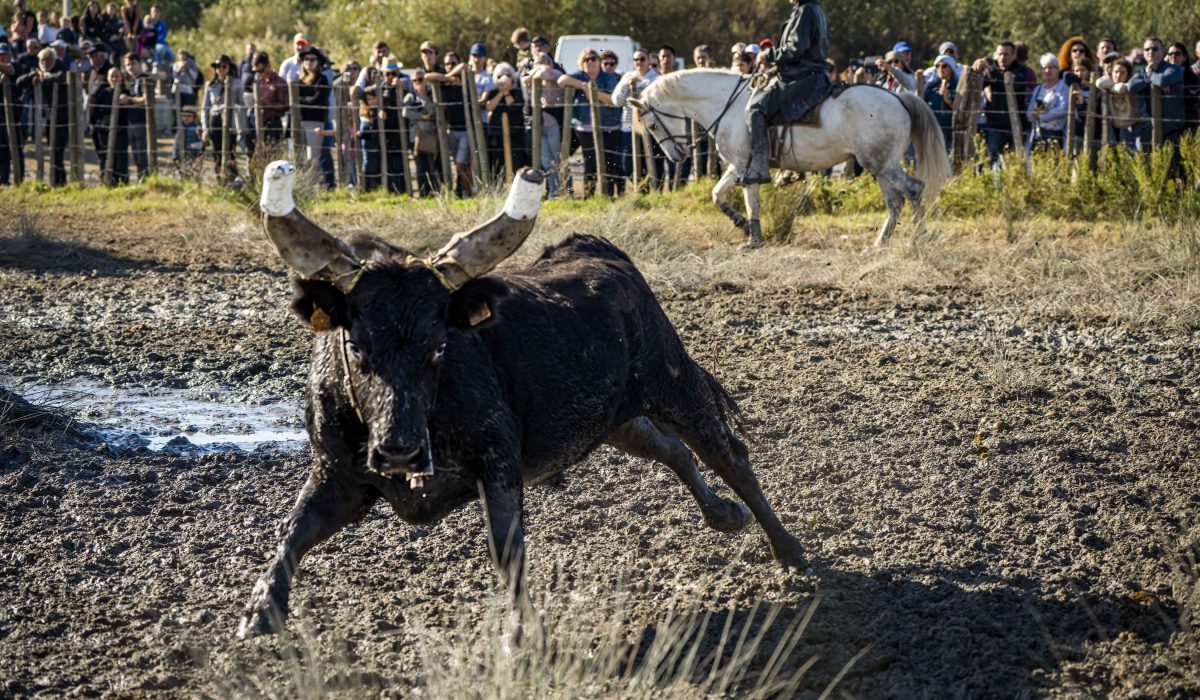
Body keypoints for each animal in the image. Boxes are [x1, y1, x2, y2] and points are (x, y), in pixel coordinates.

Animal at [238, 161, 805, 638]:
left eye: (439, 344)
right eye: (355, 346)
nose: (399, 449)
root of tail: (592, 247)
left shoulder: (498, 465)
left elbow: (507, 549)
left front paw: (524, 633)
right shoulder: (337, 476)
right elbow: (293, 530)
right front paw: (261, 609)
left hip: (674, 382)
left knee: (728, 454)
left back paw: (788, 549)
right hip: (616, 419)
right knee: (672, 450)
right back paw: (725, 515)